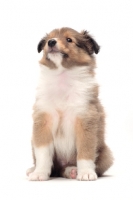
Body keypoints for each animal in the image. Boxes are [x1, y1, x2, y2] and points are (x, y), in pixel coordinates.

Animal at [26, 27, 113, 181]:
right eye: (49, 39)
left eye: (69, 39)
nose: (51, 42)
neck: (63, 76)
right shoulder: (43, 120)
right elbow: (43, 153)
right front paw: (39, 173)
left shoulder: (85, 120)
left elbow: (85, 151)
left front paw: (86, 173)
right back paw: (33, 170)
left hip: (107, 154)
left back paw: (72, 170)